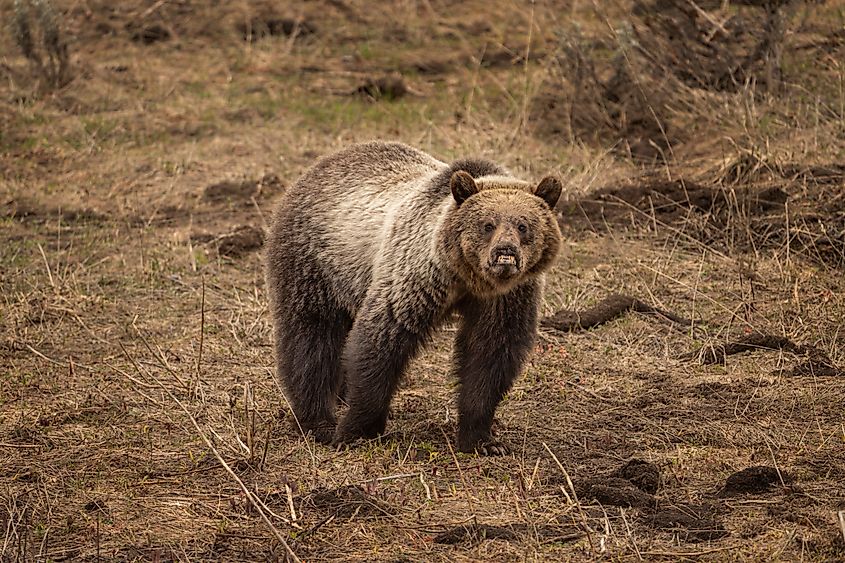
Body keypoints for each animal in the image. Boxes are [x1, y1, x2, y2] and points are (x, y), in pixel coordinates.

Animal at [265, 141, 562, 454]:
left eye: (523, 225)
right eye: (488, 224)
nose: (505, 252)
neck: (468, 279)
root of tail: (315, 169)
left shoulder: (507, 298)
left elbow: (490, 356)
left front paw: (482, 440)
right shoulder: (416, 277)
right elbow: (381, 343)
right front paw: (355, 430)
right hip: (316, 264)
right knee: (311, 339)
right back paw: (318, 421)